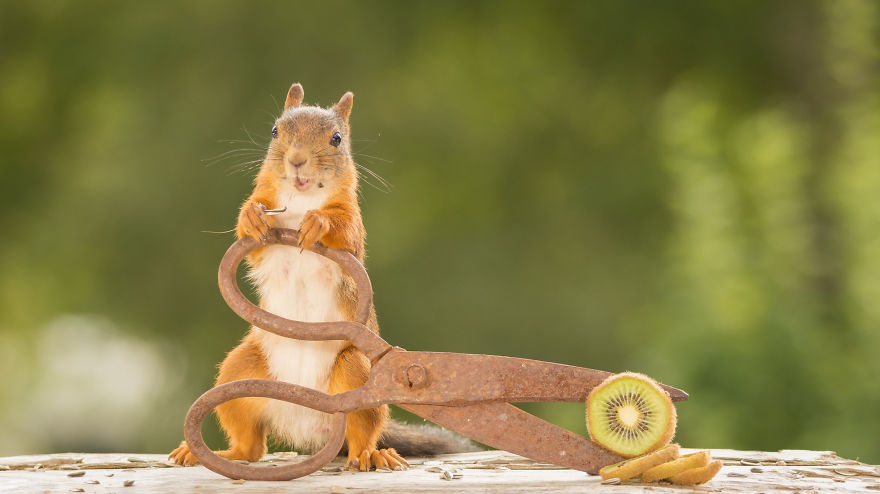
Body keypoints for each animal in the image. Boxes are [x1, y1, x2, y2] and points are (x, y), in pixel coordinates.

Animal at [170, 83, 472, 471]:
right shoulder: (261, 242)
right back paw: (205, 452)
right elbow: (249, 237)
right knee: (251, 446)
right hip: (239, 374)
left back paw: (373, 453)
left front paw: (318, 222)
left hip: (356, 372)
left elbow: (345, 229)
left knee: (361, 431)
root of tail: (305, 421)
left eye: (336, 139)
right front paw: (252, 215)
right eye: (275, 131)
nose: (297, 159)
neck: (300, 200)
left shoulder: (353, 225)